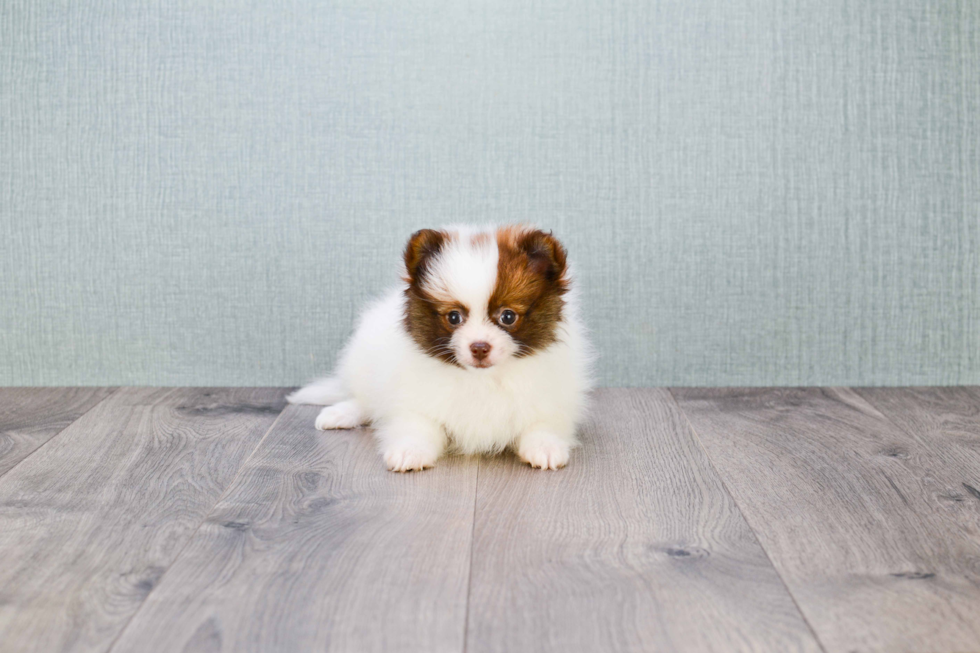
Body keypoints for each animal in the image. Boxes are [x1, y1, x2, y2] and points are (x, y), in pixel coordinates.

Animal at [288, 227, 592, 472]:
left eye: (508, 316)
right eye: (454, 317)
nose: (479, 347)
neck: (482, 380)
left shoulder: (551, 400)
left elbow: (543, 424)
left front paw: (546, 447)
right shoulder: (414, 400)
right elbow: (418, 425)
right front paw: (409, 451)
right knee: (365, 398)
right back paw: (340, 414)